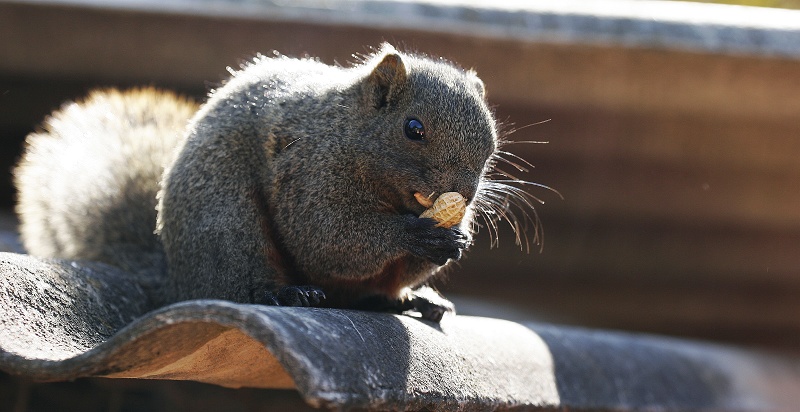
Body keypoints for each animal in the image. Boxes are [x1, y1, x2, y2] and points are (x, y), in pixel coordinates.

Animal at [12, 44, 540, 322]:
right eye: (413, 128)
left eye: (492, 139)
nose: (465, 194)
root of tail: (176, 279)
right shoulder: (306, 170)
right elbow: (325, 238)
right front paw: (415, 235)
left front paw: (455, 238)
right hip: (226, 224)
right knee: (237, 283)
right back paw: (284, 295)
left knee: (372, 294)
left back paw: (415, 299)